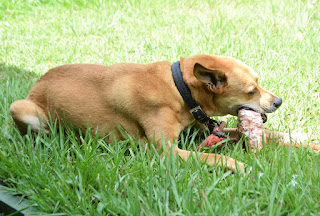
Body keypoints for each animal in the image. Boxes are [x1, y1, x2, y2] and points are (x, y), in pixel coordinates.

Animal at [8, 54, 304, 175]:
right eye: (252, 91)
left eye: (259, 83)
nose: (278, 101)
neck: (179, 88)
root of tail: (37, 83)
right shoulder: (166, 152)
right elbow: (214, 155)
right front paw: (243, 167)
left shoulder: (201, 131)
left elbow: (246, 133)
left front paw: (294, 137)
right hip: (21, 108)